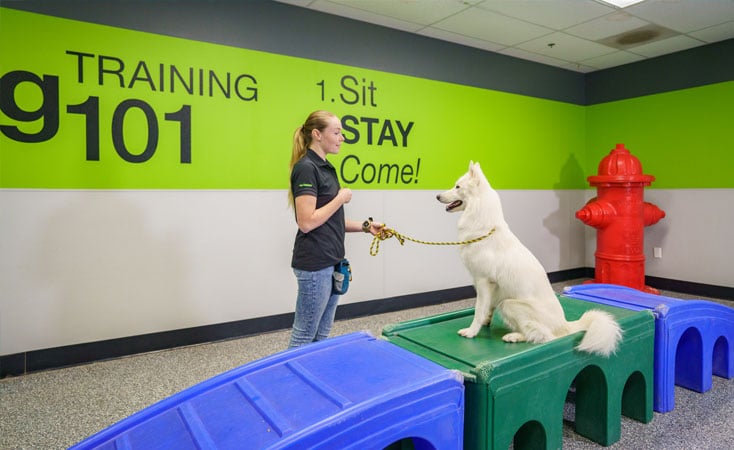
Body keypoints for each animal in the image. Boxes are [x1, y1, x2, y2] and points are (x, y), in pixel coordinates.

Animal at [440, 163, 624, 358]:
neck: (483, 226)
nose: (437, 196)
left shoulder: (483, 282)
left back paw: (514, 336)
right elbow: (487, 308)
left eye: (457, 187)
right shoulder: (491, 287)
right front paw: (485, 322)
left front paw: (471, 332)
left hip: (509, 304)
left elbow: (478, 310)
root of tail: (565, 325)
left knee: (544, 336)